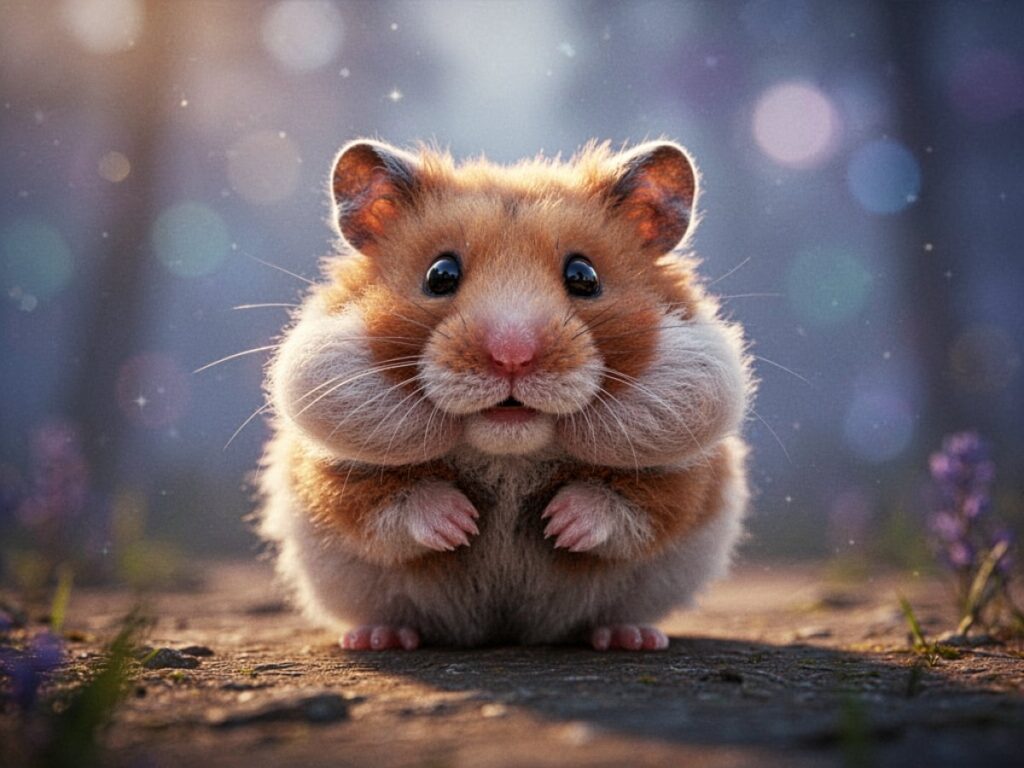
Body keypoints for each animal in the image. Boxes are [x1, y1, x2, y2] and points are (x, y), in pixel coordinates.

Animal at [257, 138, 753, 651]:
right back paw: (378, 638)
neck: (510, 455)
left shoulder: (688, 474)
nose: (512, 356)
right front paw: (461, 523)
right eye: (440, 275)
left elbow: (638, 505)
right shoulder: (330, 473)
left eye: (584, 276)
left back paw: (631, 637)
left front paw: (560, 523)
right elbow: (380, 502)